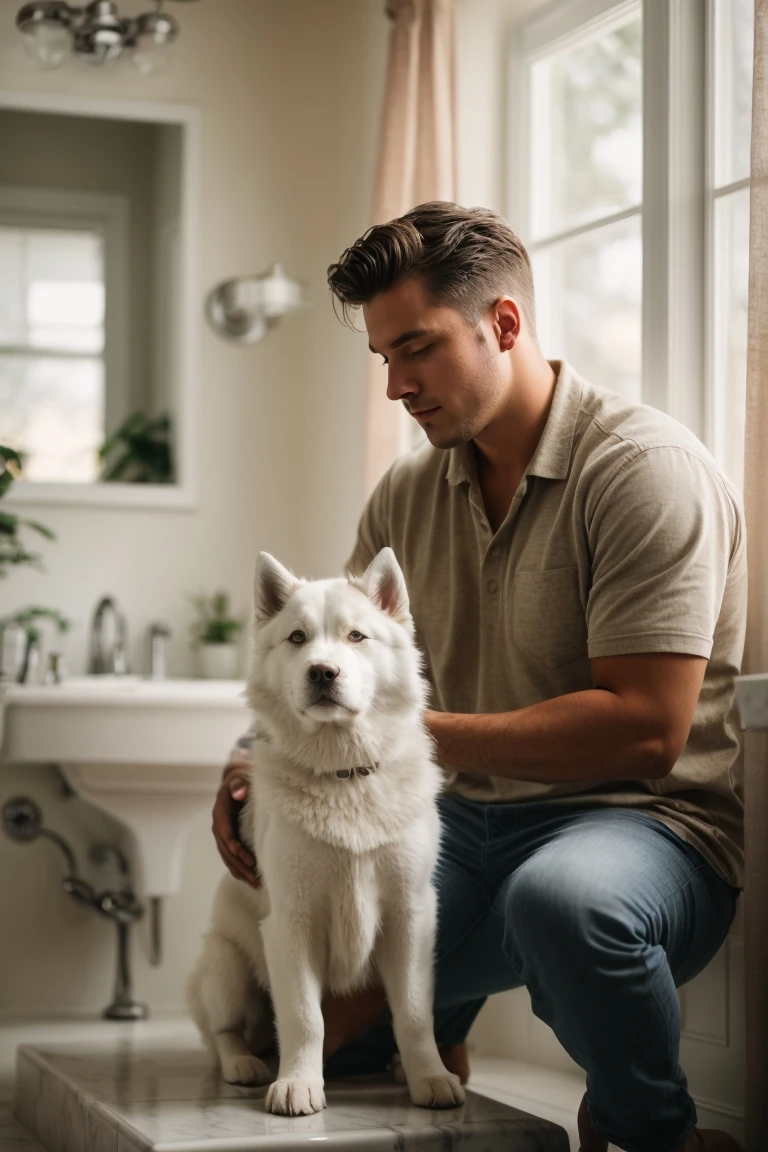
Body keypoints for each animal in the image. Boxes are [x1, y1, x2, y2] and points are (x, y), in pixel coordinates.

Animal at [187, 548, 462, 1115]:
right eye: (297, 637)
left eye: (356, 636)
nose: (322, 672)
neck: (344, 774)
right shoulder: (290, 922)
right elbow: (303, 1015)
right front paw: (297, 1084)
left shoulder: (411, 917)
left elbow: (414, 1013)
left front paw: (429, 1077)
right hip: (225, 963)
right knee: (224, 1032)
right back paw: (243, 1064)